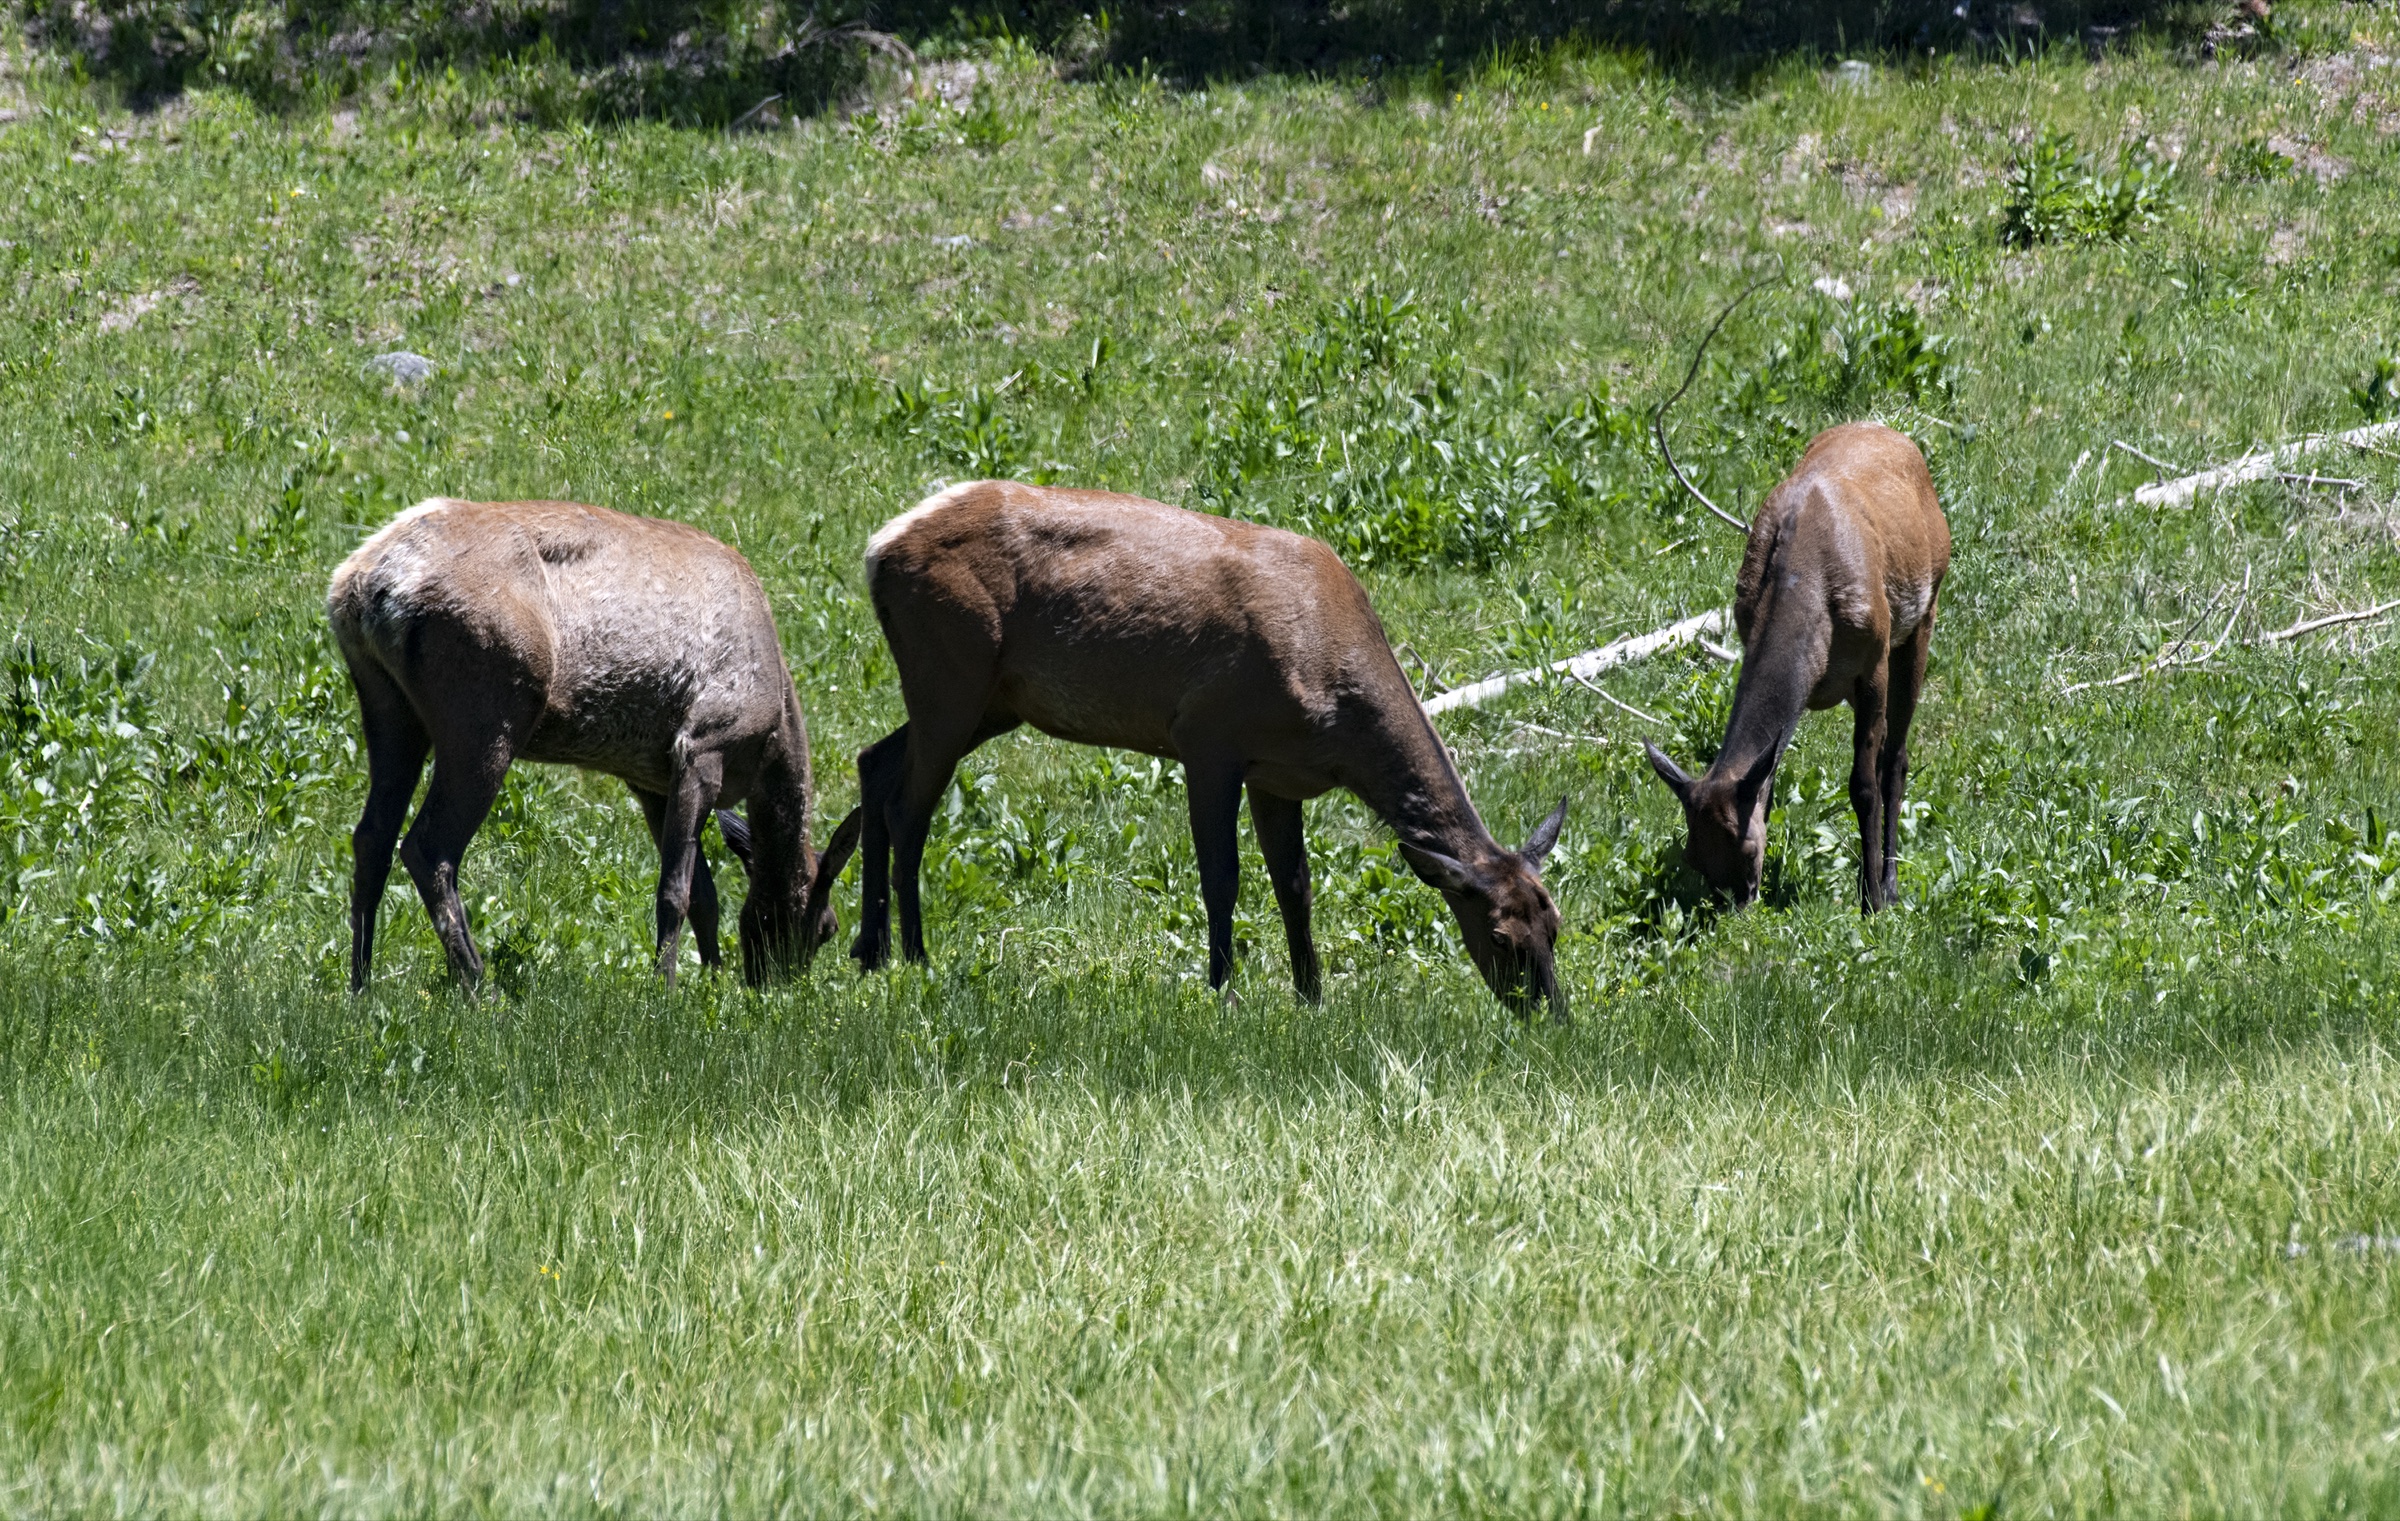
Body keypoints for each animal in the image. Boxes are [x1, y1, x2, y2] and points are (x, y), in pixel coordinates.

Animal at [327, 497, 861, 993]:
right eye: (828, 928)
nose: (776, 985)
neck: (772, 733)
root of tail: (363, 588)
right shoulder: (703, 744)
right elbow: (676, 890)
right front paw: (666, 988)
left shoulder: (653, 778)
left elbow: (705, 896)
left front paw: (711, 979)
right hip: (486, 710)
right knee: (427, 847)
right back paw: (481, 988)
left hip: (388, 704)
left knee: (371, 836)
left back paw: (360, 985)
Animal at [848, 480, 1571, 1018]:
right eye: (1501, 937)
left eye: (1555, 923)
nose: (1551, 1015)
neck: (1333, 717)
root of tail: (878, 547)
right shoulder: (1208, 738)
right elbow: (1221, 877)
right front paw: (1221, 989)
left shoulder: (1278, 774)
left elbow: (1295, 883)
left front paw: (1312, 996)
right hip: (951, 675)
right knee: (909, 808)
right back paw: (914, 955)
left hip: (989, 701)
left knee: (873, 762)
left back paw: (869, 951)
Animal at [1641, 421, 1951, 912]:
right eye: (1692, 856)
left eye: (1746, 845)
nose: (1737, 905)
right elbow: (1767, 780)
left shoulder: (1873, 661)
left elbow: (1863, 785)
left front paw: (1872, 900)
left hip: (1922, 616)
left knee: (1896, 759)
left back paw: (1890, 883)